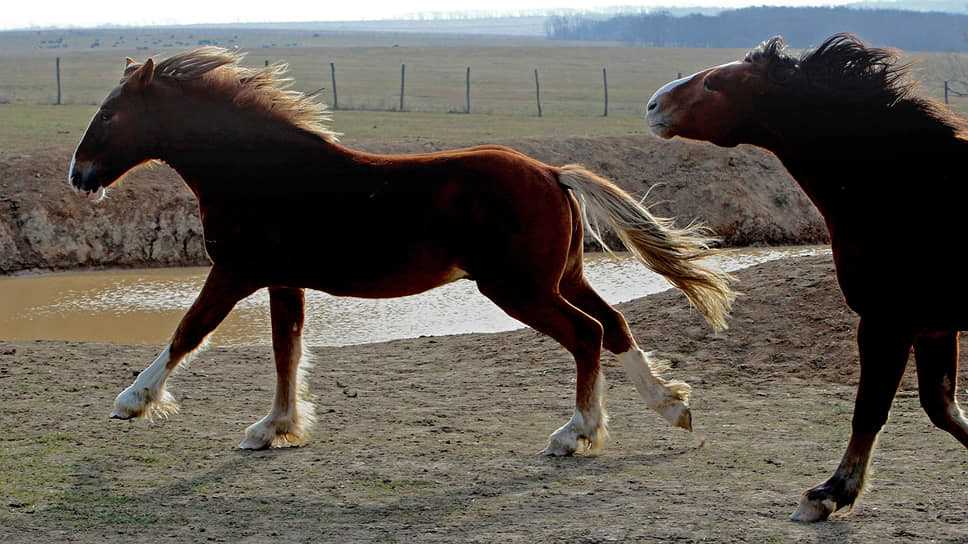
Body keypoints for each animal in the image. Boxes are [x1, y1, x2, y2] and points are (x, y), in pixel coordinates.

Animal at [68, 47, 732, 454]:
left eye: (110, 114)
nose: (79, 175)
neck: (259, 171)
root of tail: (551, 172)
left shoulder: (237, 271)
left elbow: (189, 330)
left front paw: (133, 401)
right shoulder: (283, 279)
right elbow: (287, 349)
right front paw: (277, 427)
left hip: (517, 288)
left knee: (587, 334)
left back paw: (576, 434)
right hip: (560, 278)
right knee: (613, 323)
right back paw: (670, 406)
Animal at [648, 31, 968, 520]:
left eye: (714, 83)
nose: (653, 105)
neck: (910, 193)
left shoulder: (887, 323)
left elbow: (870, 409)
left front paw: (830, 494)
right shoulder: (931, 327)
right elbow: (944, 409)